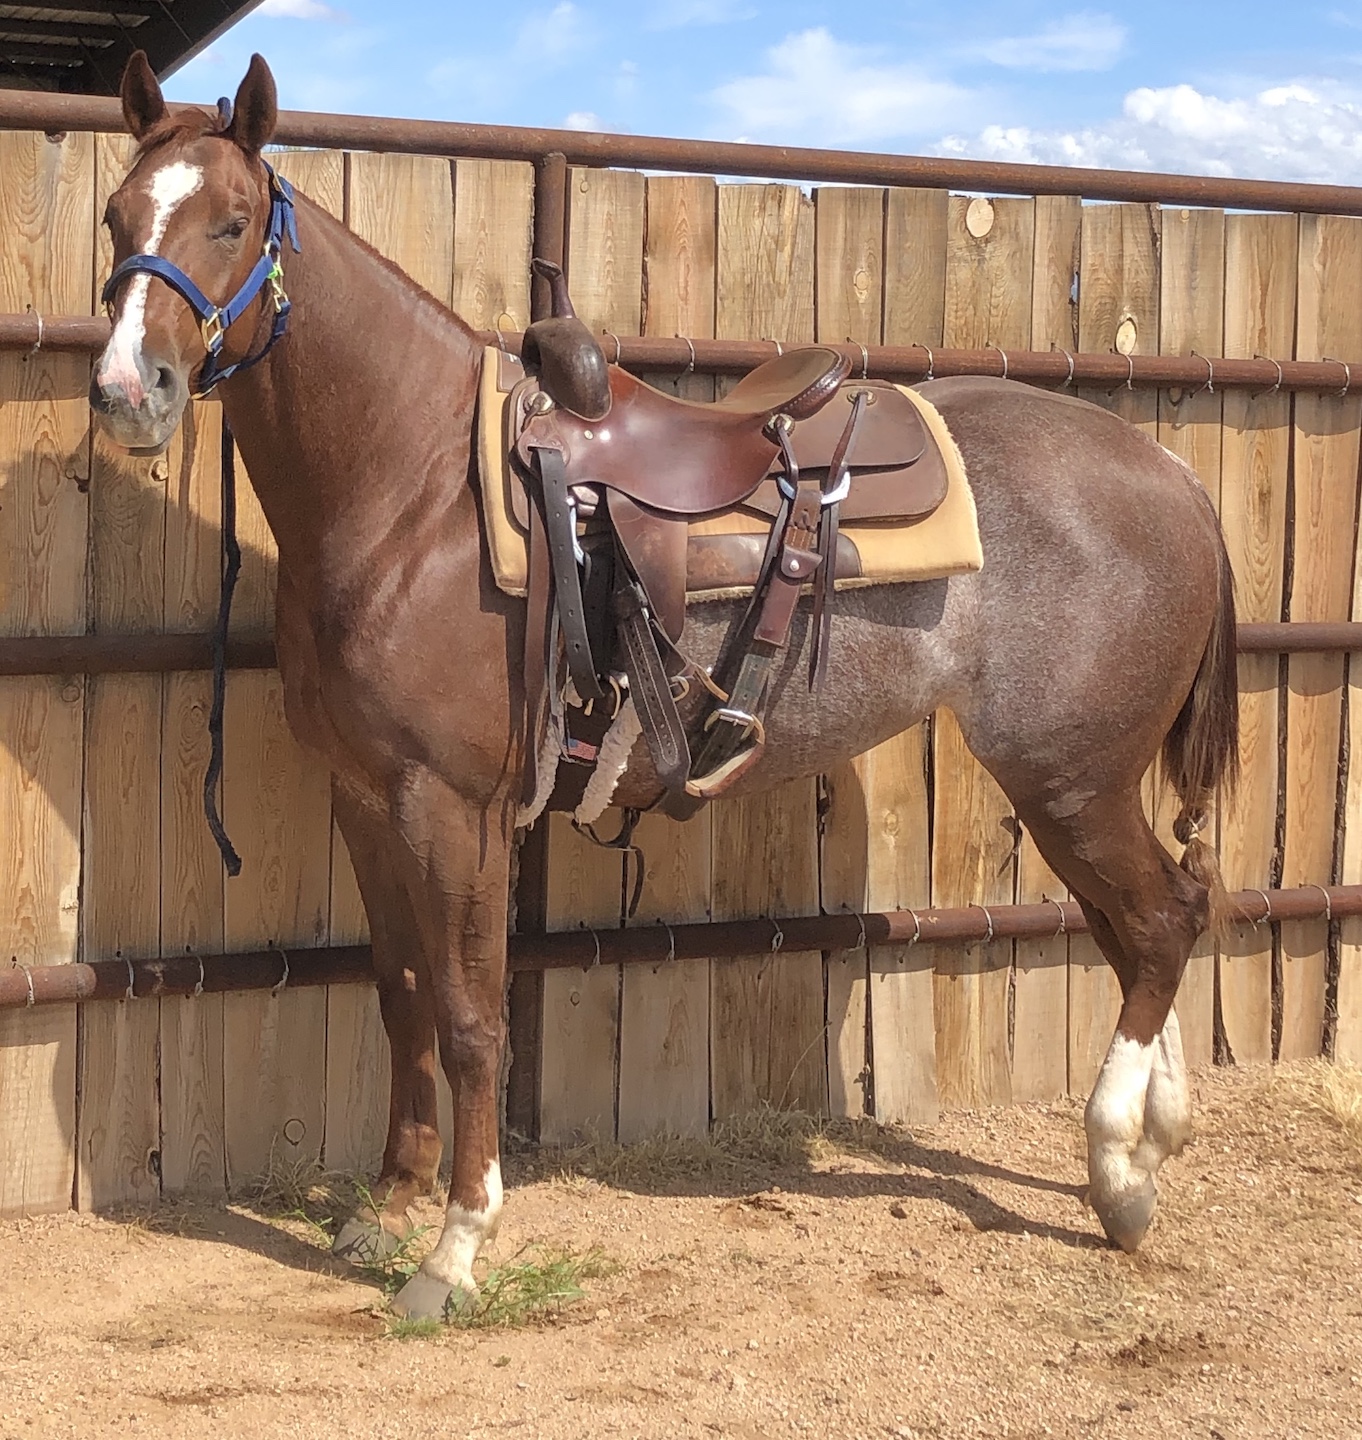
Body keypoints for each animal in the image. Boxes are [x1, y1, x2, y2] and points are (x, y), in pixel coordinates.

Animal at [90, 52, 1238, 1320]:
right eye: (119, 218)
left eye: (233, 221)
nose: (130, 389)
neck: (419, 495)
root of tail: (1174, 477)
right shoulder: (365, 797)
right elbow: (398, 992)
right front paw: (385, 1207)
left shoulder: (455, 810)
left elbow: (469, 1017)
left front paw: (454, 1247)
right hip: (1082, 787)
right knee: (1149, 926)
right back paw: (1150, 1147)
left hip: (1070, 778)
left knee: (1162, 919)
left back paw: (1118, 1174)